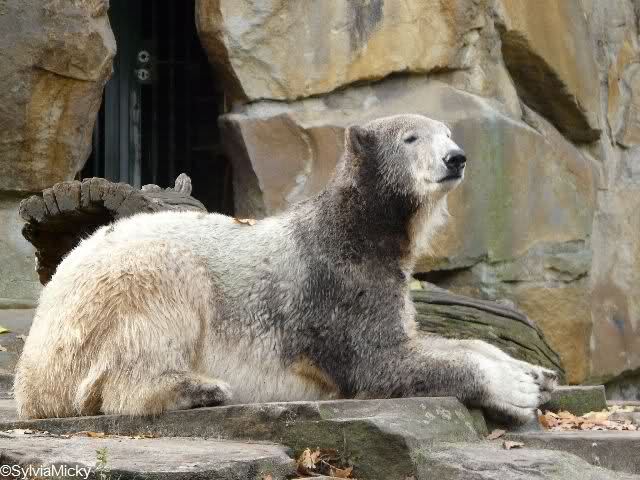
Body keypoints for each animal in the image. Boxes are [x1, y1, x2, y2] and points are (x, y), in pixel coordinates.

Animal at [14, 114, 557, 422]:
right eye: (411, 138)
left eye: (448, 134)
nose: (456, 158)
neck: (357, 227)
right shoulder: (335, 283)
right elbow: (380, 363)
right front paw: (515, 389)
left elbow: (425, 339)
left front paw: (535, 371)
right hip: (115, 292)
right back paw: (198, 389)